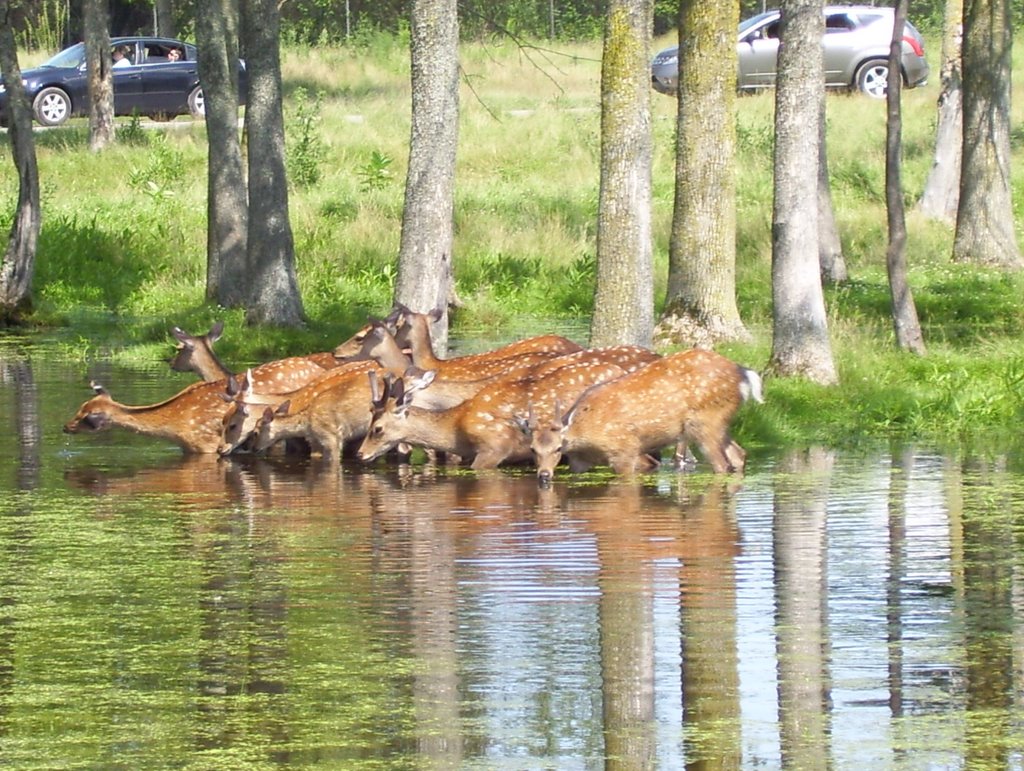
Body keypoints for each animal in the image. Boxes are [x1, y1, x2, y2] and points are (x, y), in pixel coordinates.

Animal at [528, 348, 761, 481]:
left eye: (558, 448)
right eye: (533, 449)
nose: (544, 476)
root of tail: (743, 374)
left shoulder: (625, 449)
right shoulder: (579, 464)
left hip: (706, 422)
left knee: (721, 464)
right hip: (721, 423)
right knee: (738, 455)